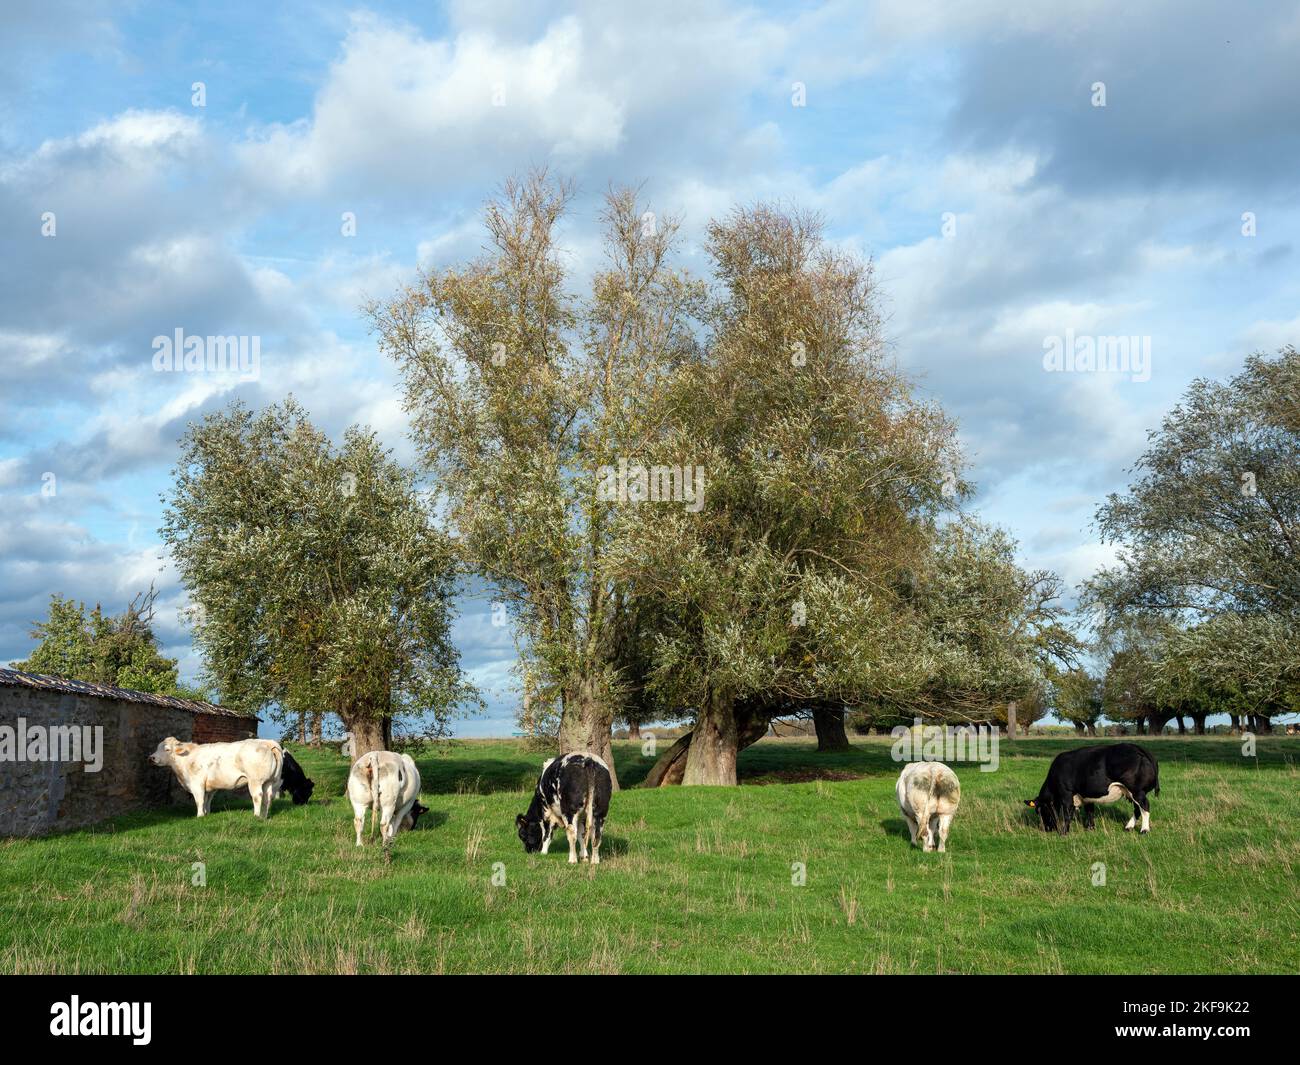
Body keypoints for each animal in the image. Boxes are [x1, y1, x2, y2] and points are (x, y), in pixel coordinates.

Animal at [150, 738, 286, 821]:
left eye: (167, 749)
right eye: (157, 748)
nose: (152, 757)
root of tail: (267, 742)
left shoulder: (197, 784)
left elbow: (199, 800)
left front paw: (199, 816)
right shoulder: (210, 787)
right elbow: (207, 800)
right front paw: (206, 814)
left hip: (255, 781)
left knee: (258, 796)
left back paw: (256, 815)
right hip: (269, 781)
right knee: (268, 798)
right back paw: (264, 816)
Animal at [1019, 743, 1164, 832]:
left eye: (1041, 810)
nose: (1047, 829)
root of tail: (1137, 747)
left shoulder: (1066, 794)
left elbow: (1067, 814)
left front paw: (1064, 832)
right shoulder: (1087, 795)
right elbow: (1089, 812)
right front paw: (1090, 828)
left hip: (1137, 791)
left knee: (1145, 806)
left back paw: (1144, 830)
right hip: (1133, 793)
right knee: (1137, 809)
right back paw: (1129, 827)